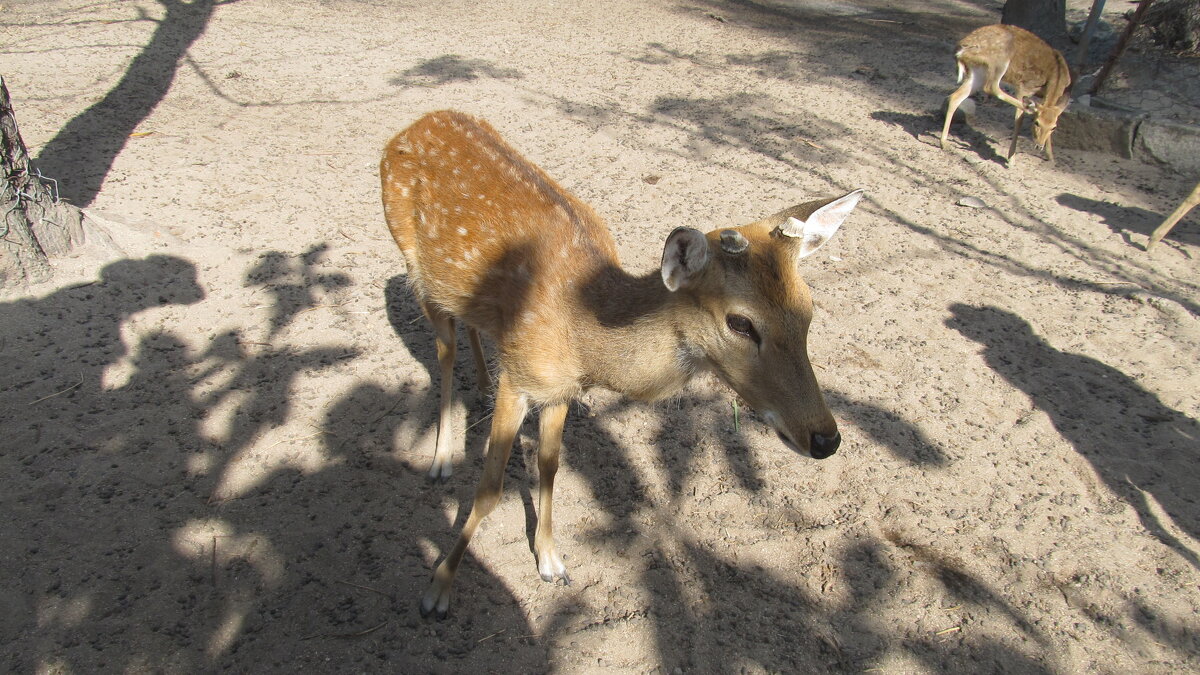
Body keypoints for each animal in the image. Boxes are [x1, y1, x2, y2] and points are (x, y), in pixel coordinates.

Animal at [381, 109, 864, 614]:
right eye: (741, 323)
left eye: (808, 309)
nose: (826, 438)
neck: (586, 336)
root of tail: (412, 126)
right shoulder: (521, 378)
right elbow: (491, 488)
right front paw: (438, 588)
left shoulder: (560, 389)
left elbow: (550, 464)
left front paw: (551, 560)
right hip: (412, 261)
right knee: (444, 351)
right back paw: (440, 458)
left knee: (468, 327)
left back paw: (478, 386)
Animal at [940, 24, 1075, 163]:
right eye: (1036, 123)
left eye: (1054, 127)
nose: (1039, 146)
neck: (1056, 77)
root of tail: (960, 49)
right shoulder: (1024, 87)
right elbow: (1019, 120)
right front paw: (1011, 159)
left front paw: (1051, 157)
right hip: (999, 60)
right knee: (991, 87)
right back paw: (1028, 108)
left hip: (978, 72)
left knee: (955, 97)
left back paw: (944, 142)